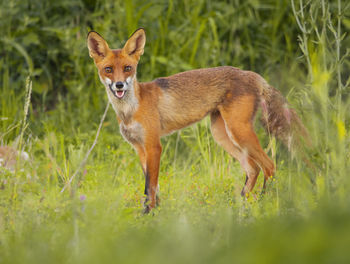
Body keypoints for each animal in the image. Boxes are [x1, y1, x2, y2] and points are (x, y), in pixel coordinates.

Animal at [87, 28, 306, 212]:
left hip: (239, 132)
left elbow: (150, 186)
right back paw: (241, 205)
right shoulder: (140, 148)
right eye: (108, 69)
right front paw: (157, 213)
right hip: (222, 135)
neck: (131, 109)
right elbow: (153, 187)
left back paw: (265, 203)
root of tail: (252, 74)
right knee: (253, 169)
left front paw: (148, 215)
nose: (119, 85)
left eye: (127, 68)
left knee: (269, 166)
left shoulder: (153, 146)